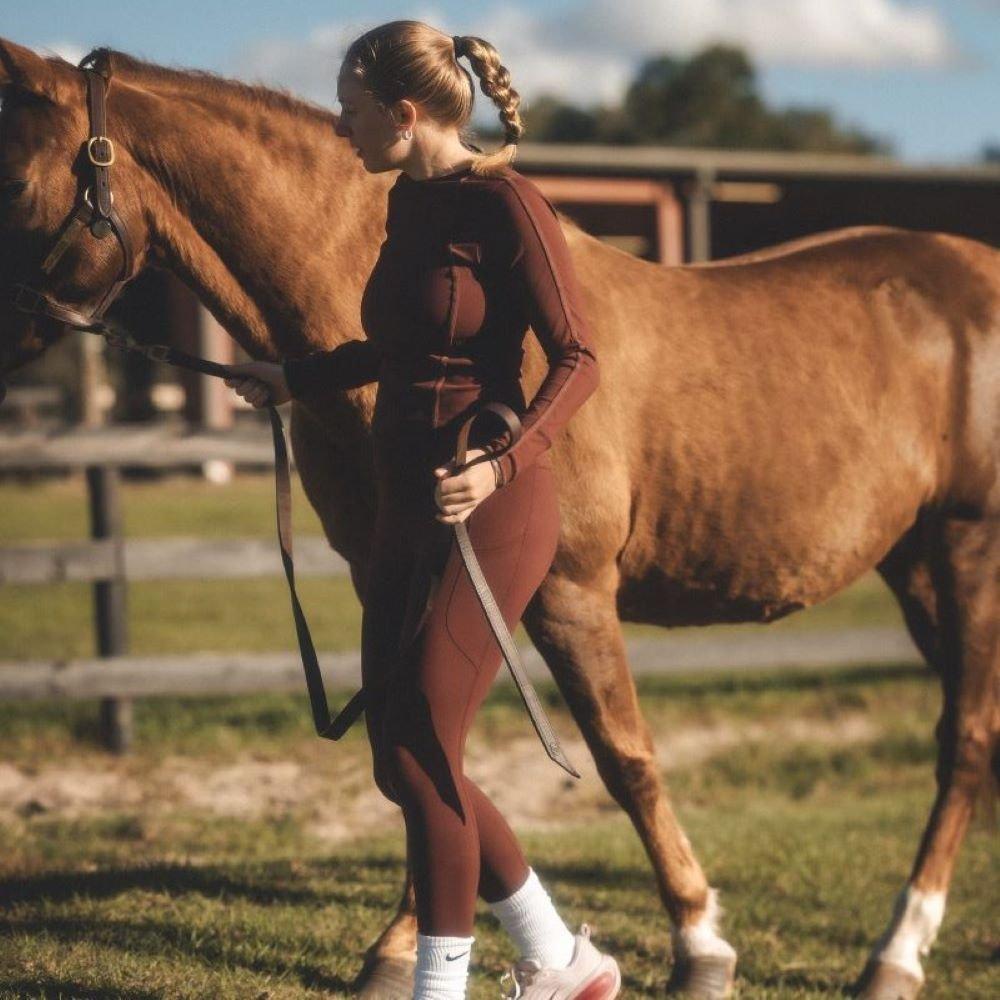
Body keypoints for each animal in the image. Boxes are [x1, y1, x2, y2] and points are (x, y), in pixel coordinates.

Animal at [0, 40, 996, 1000]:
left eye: (13, 182)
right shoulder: (394, 578)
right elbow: (422, 757)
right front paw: (401, 948)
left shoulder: (568, 592)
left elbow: (623, 759)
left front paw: (700, 942)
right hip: (914, 564)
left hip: (965, 551)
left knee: (965, 741)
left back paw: (896, 955)